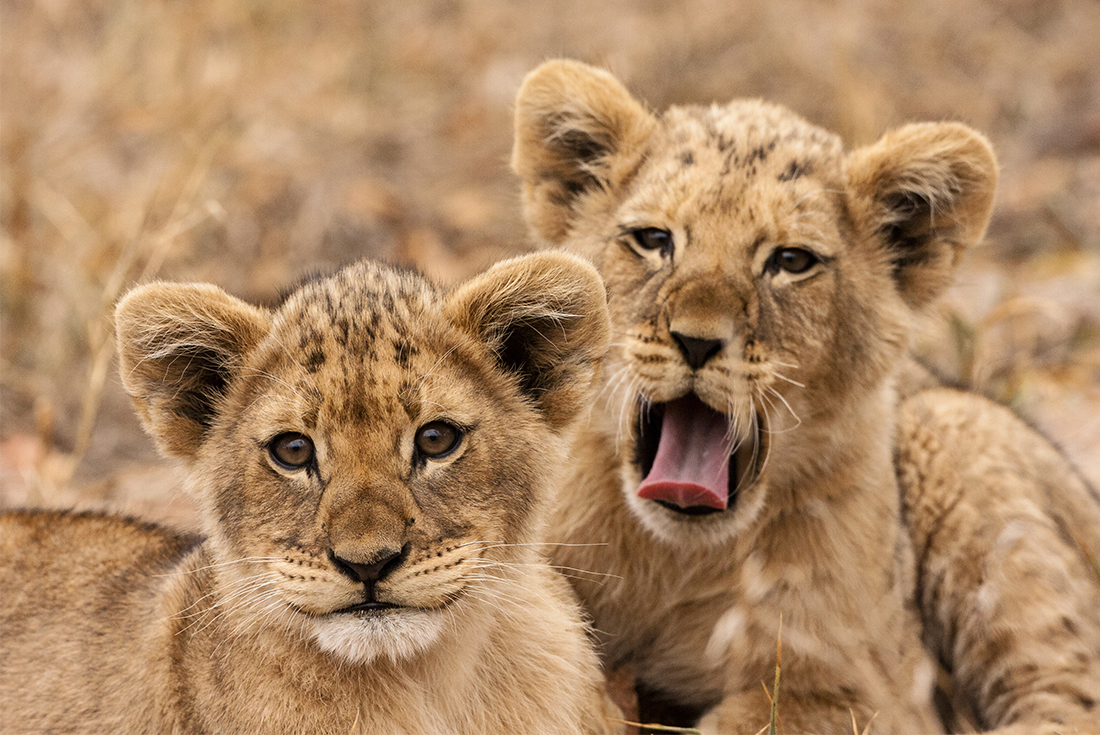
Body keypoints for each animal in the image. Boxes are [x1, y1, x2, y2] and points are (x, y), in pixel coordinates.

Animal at [511, 59, 1100, 734]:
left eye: (791, 261)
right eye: (654, 239)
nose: (696, 342)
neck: (674, 563)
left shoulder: (870, 693)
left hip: (956, 431)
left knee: (1066, 693)